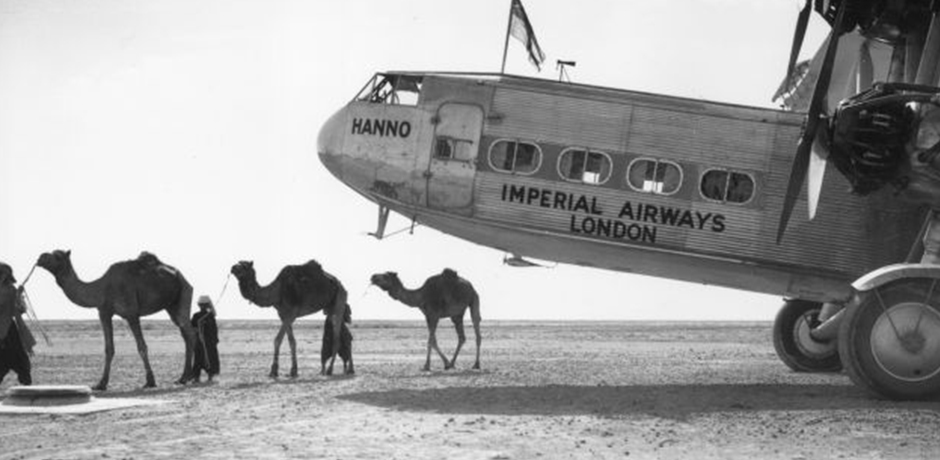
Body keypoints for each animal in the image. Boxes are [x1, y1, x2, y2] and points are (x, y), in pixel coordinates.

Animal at [36, 250, 196, 390]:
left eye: (57, 256)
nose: (40, 257)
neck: (101, 288)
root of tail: (181, 275)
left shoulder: (131, 313)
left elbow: (142, 346)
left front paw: (150, 381)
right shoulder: (104, 313)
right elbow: (109, 348)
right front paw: (101, 384)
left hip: (184, 292)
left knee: (189, 332)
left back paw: (187, 377)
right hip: (172, 306)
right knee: (186, 334)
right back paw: (185, 377)